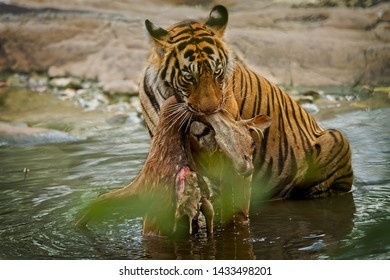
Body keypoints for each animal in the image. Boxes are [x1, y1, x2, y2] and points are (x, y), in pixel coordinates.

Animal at [139, 3, 354, 223]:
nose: (210, 110)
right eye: (189, 77)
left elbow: (236, 205)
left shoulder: (231, 155)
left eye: (216, 72)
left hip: (336, 139)